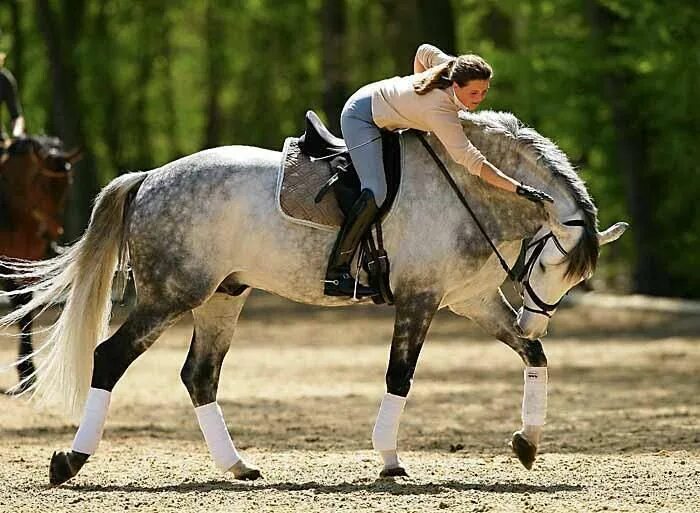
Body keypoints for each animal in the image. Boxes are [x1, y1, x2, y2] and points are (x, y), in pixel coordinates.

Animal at [0, 136, 80, 388]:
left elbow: (25, 307)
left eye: (67, 186)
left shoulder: (28, 264)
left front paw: (27, 372)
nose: (51, 232)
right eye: (41, 185)